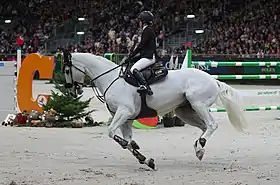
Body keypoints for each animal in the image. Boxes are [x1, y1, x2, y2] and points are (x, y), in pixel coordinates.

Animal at [63, 51, 247, 170]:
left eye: (66, 70)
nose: (71, 91)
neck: (111, 79)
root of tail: (213, 80)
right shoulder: (125, 118)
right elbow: (128, 141)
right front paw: (145, 160)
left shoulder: (124, 112)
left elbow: (113, 134)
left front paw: (134, 150)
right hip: (185, 112)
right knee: (204, 127)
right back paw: (198, 148)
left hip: (198, 104)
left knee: (212, 125)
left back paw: (200, 147)